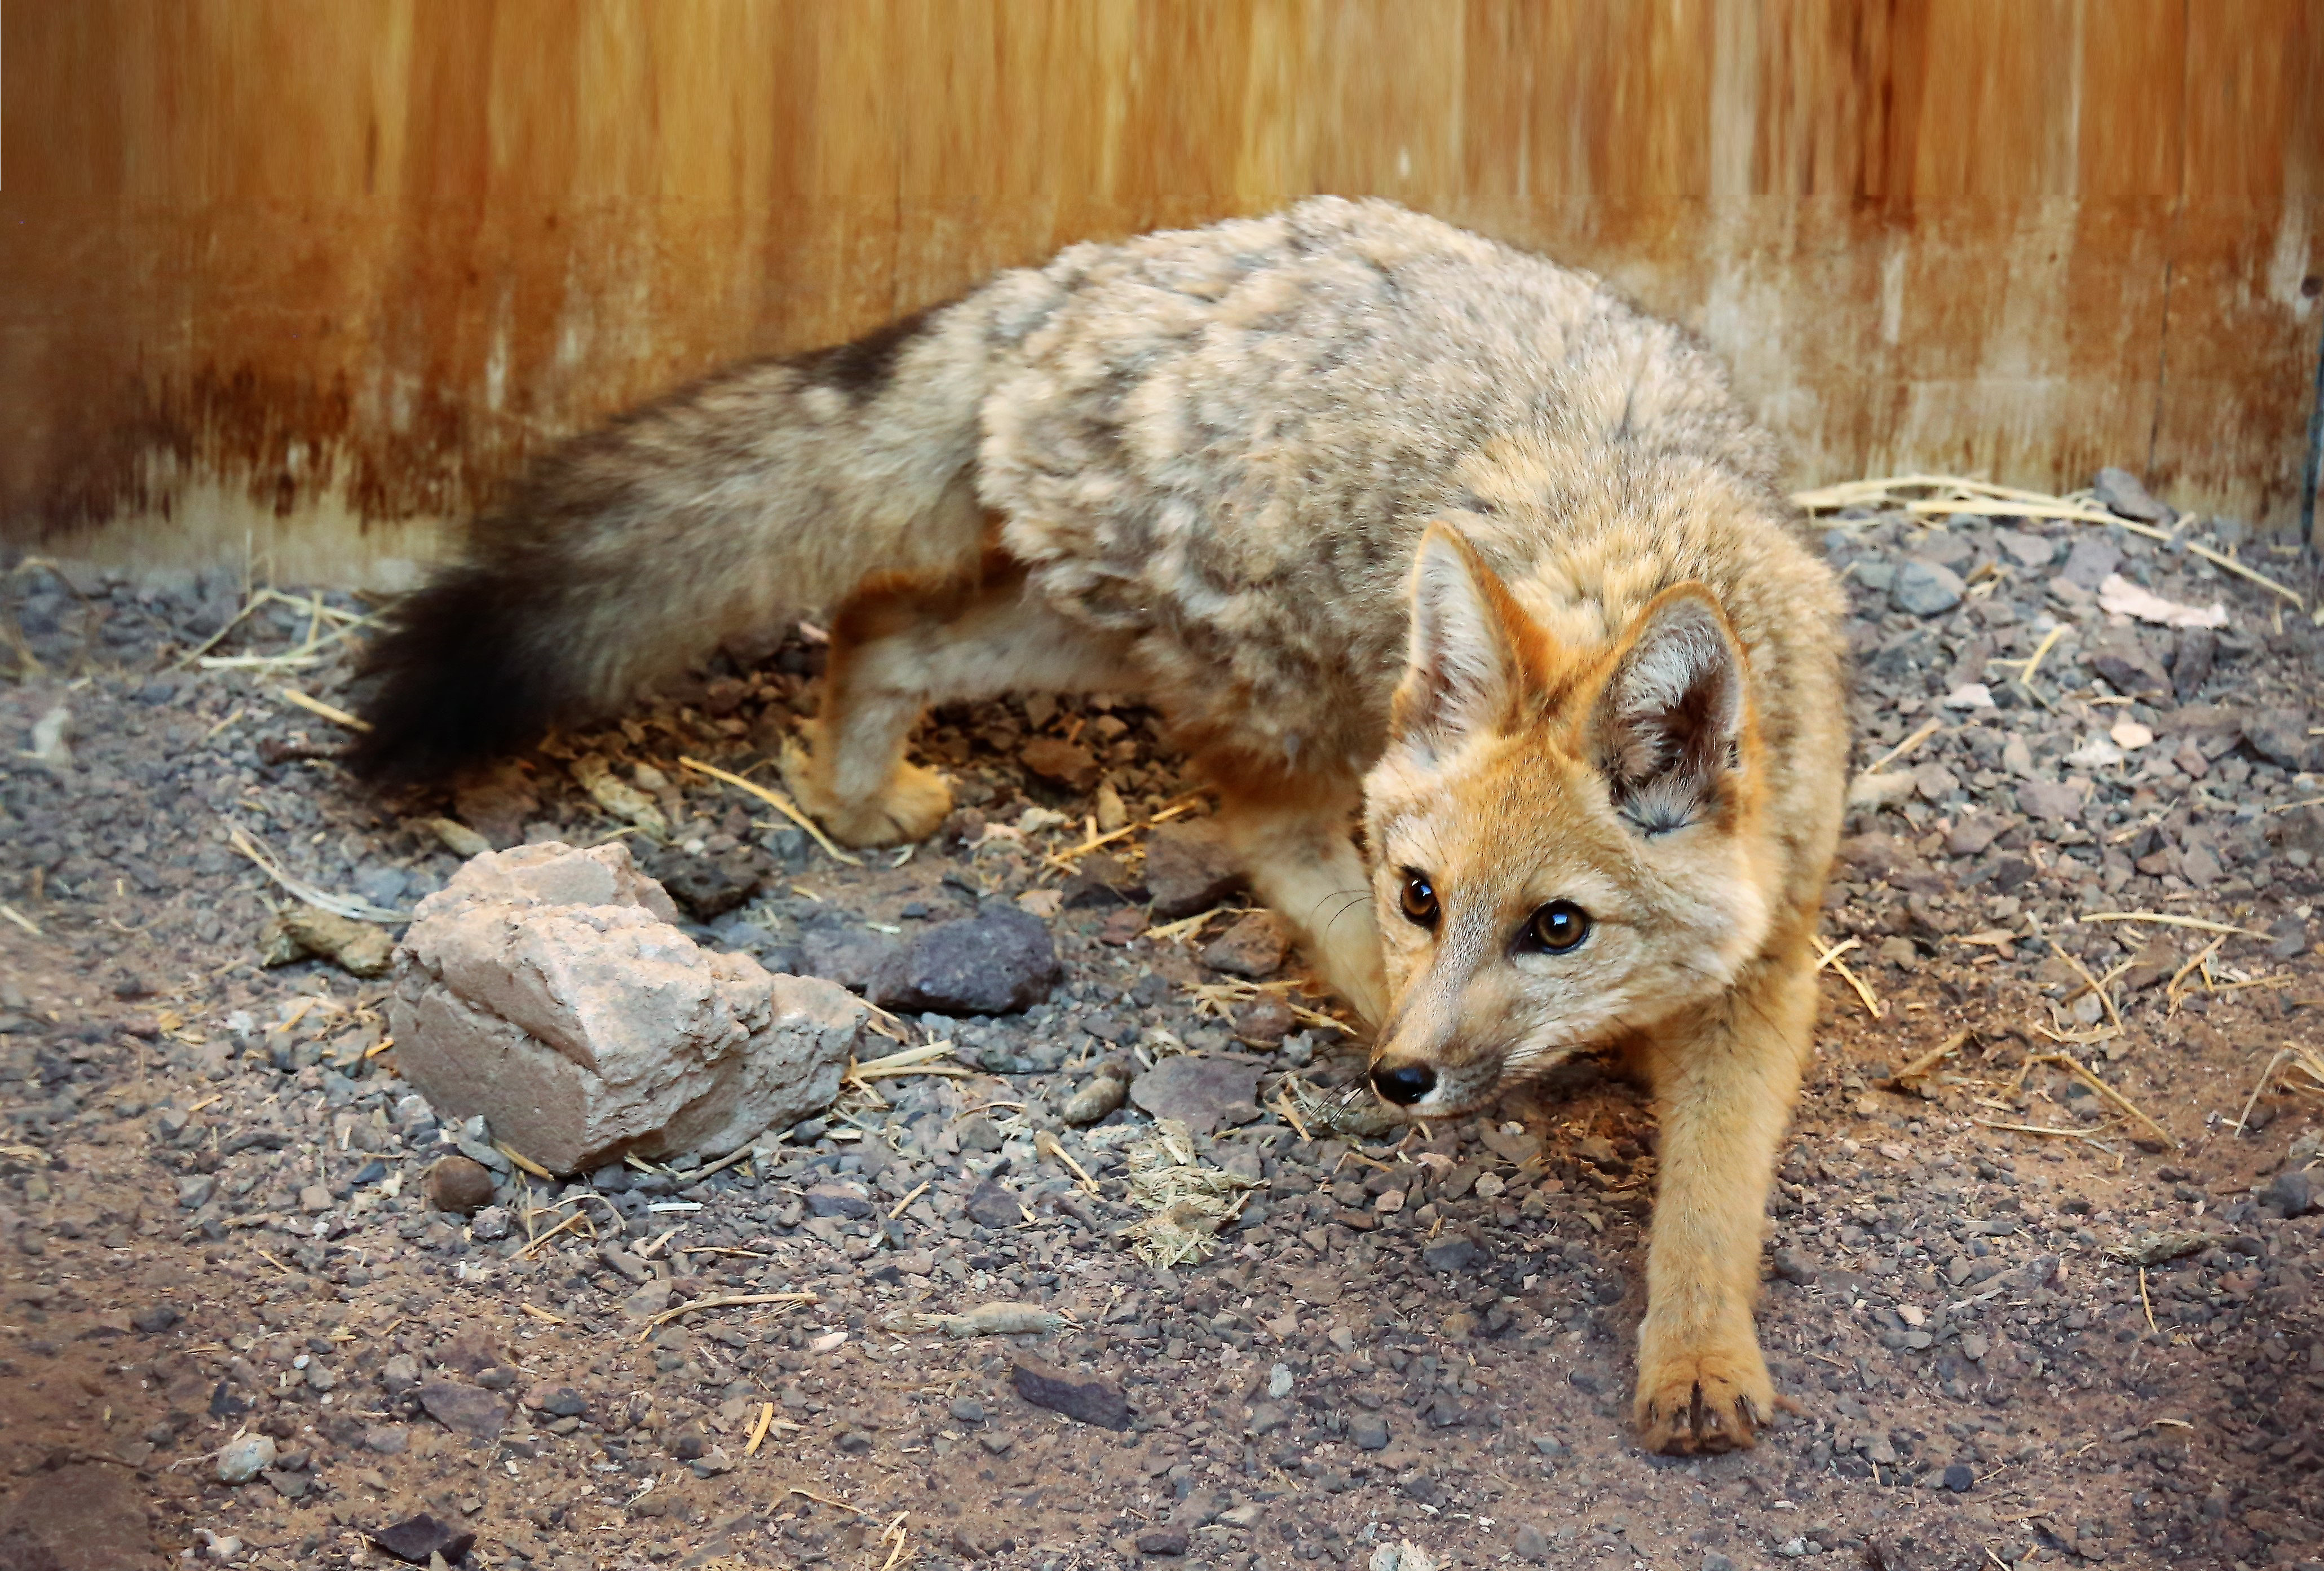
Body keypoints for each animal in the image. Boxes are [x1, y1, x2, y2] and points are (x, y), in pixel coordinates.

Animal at [357, 200, 1850, 1459]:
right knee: (1242, 808)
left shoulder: (1770, 967)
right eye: (1422, 897)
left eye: (1557, 926)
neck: (1621, 545)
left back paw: (854, 796)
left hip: (1091, 624)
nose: (1403, 1079)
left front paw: (1698, 1360)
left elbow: (1712, 1197)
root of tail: (1080, 275)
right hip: (1278, 683)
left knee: (881, 618)